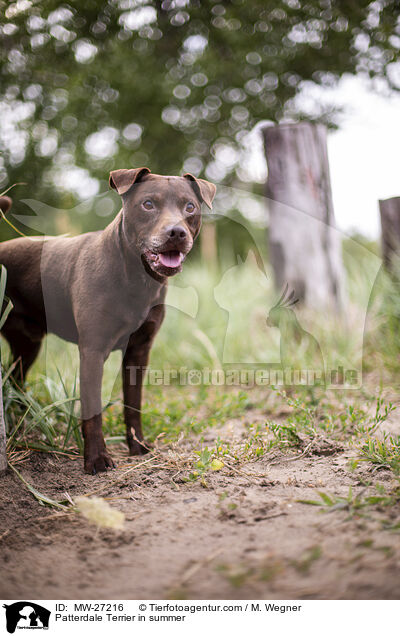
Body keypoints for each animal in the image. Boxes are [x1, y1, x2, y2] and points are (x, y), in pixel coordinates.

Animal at [0, 169, 216, 472]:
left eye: (190, 207)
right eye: (148, 204)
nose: (176, 232)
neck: (136, 280)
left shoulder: (139, 351)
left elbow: (133, 405)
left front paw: (138, 446)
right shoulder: (92, 350)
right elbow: (93, 411)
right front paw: (96, 458)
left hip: (28, 344)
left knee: (16, 382)